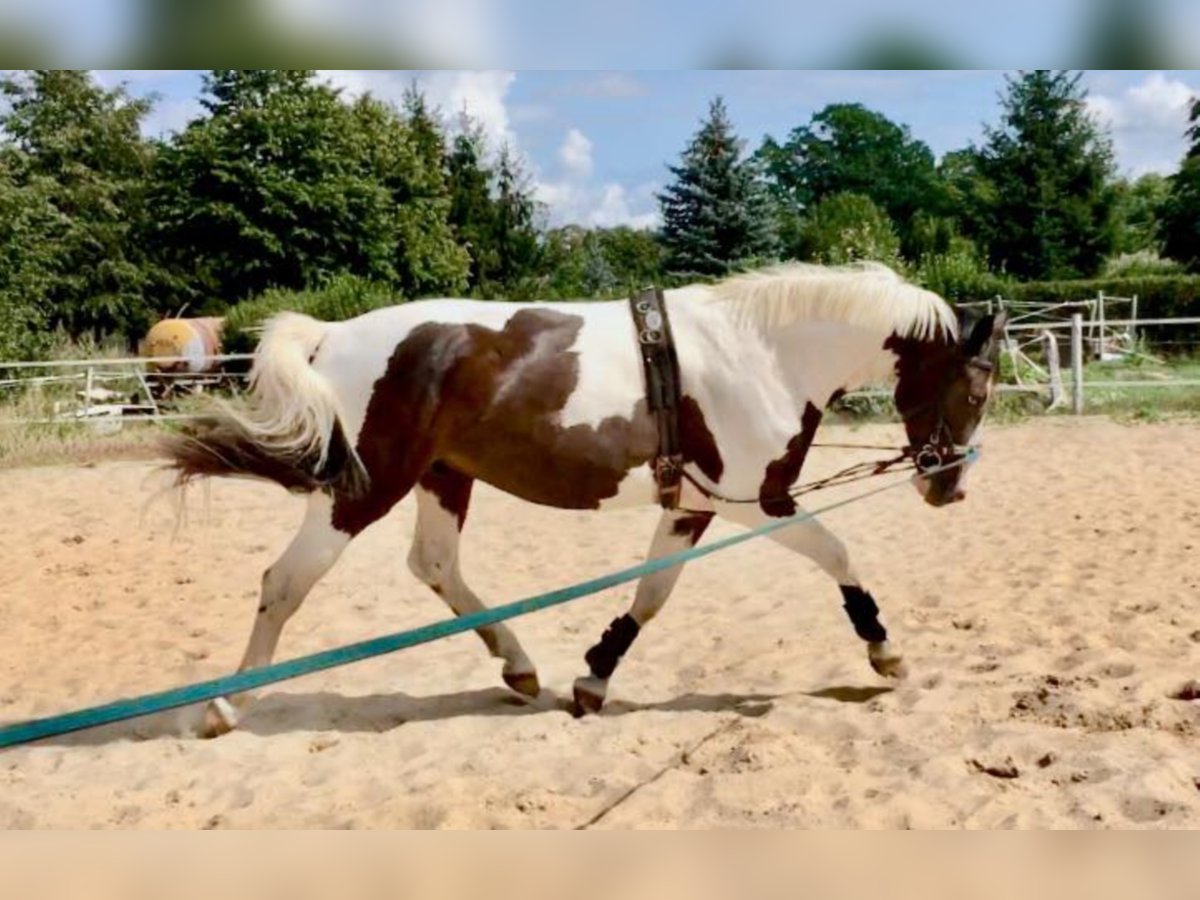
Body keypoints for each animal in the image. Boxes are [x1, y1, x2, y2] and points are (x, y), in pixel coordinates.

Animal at [169, 260, 1008, 739]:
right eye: (976, 389)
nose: (951, 484)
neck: (766, 351)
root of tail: (333, 333)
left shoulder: (693, 502)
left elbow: (651, 593)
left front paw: (594, 674)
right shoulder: (754, 499)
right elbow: (838, 552)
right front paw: (883, 648)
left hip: (442, 477)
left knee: (434, 566)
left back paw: (518, 668)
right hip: (366, 485)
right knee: (286, 581)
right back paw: (227, 705)